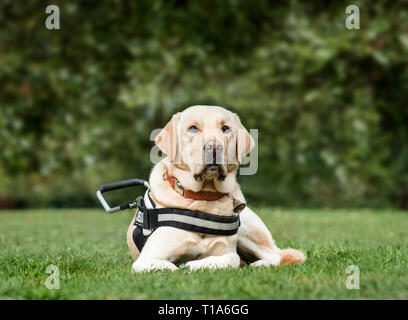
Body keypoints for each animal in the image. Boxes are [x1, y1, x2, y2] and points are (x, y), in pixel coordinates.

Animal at [126, 106, 304, 272]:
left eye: (225, 128)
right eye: (193, 128)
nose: (214, 147)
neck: (204, 198)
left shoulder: (226, 250)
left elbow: (231, 258)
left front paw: (194, 265)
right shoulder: (146, 258)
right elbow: (172, 267)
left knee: (277, 256)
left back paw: (258, 264)